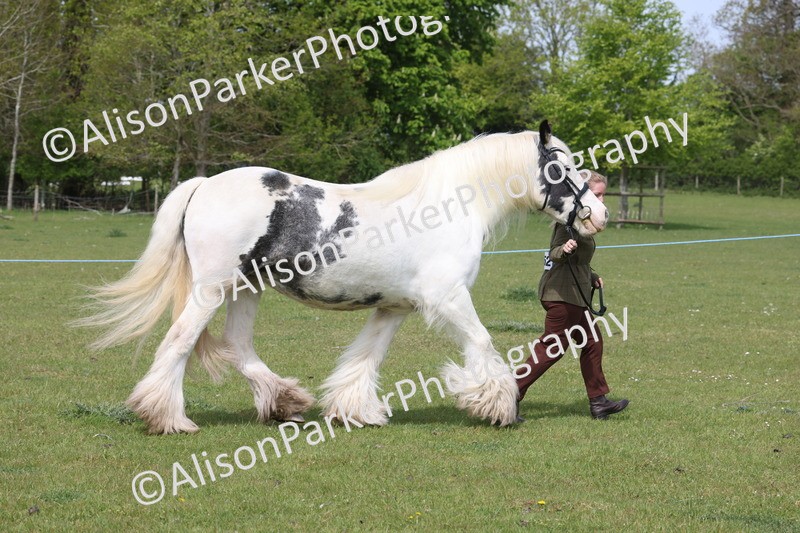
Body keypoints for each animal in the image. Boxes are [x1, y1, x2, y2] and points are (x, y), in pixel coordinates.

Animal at [77, 121, 608, 434]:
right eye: (562, 167)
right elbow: (481, 344)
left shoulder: (393, 307)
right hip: (212, 290)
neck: (449, 206)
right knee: (180, 342)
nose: (598, 215)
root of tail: (205, 183)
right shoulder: (449, 298)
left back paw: (284, 402)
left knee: (238, 346)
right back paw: (170, 418)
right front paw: (498, 405)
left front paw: (356, 411)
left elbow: (365, 358)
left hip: (246, 289)